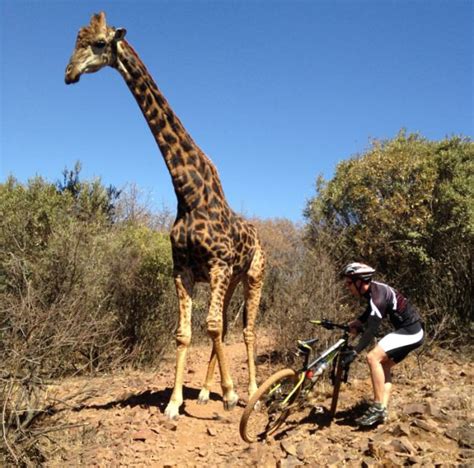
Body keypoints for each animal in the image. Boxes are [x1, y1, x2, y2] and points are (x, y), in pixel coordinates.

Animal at [65, 12, 266, 418]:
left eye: (98, 43)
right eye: (75, 41)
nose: (68, 73)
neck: (189, 194)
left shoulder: (218, 265)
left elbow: (211, 328)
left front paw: (230, 394)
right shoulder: (183, 269)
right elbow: (187, 332)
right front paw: (175, 403)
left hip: (253, 275)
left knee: (248, 330)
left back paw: (250, 390)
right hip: (232, 280)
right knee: (224, 324)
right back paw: (205, 391)